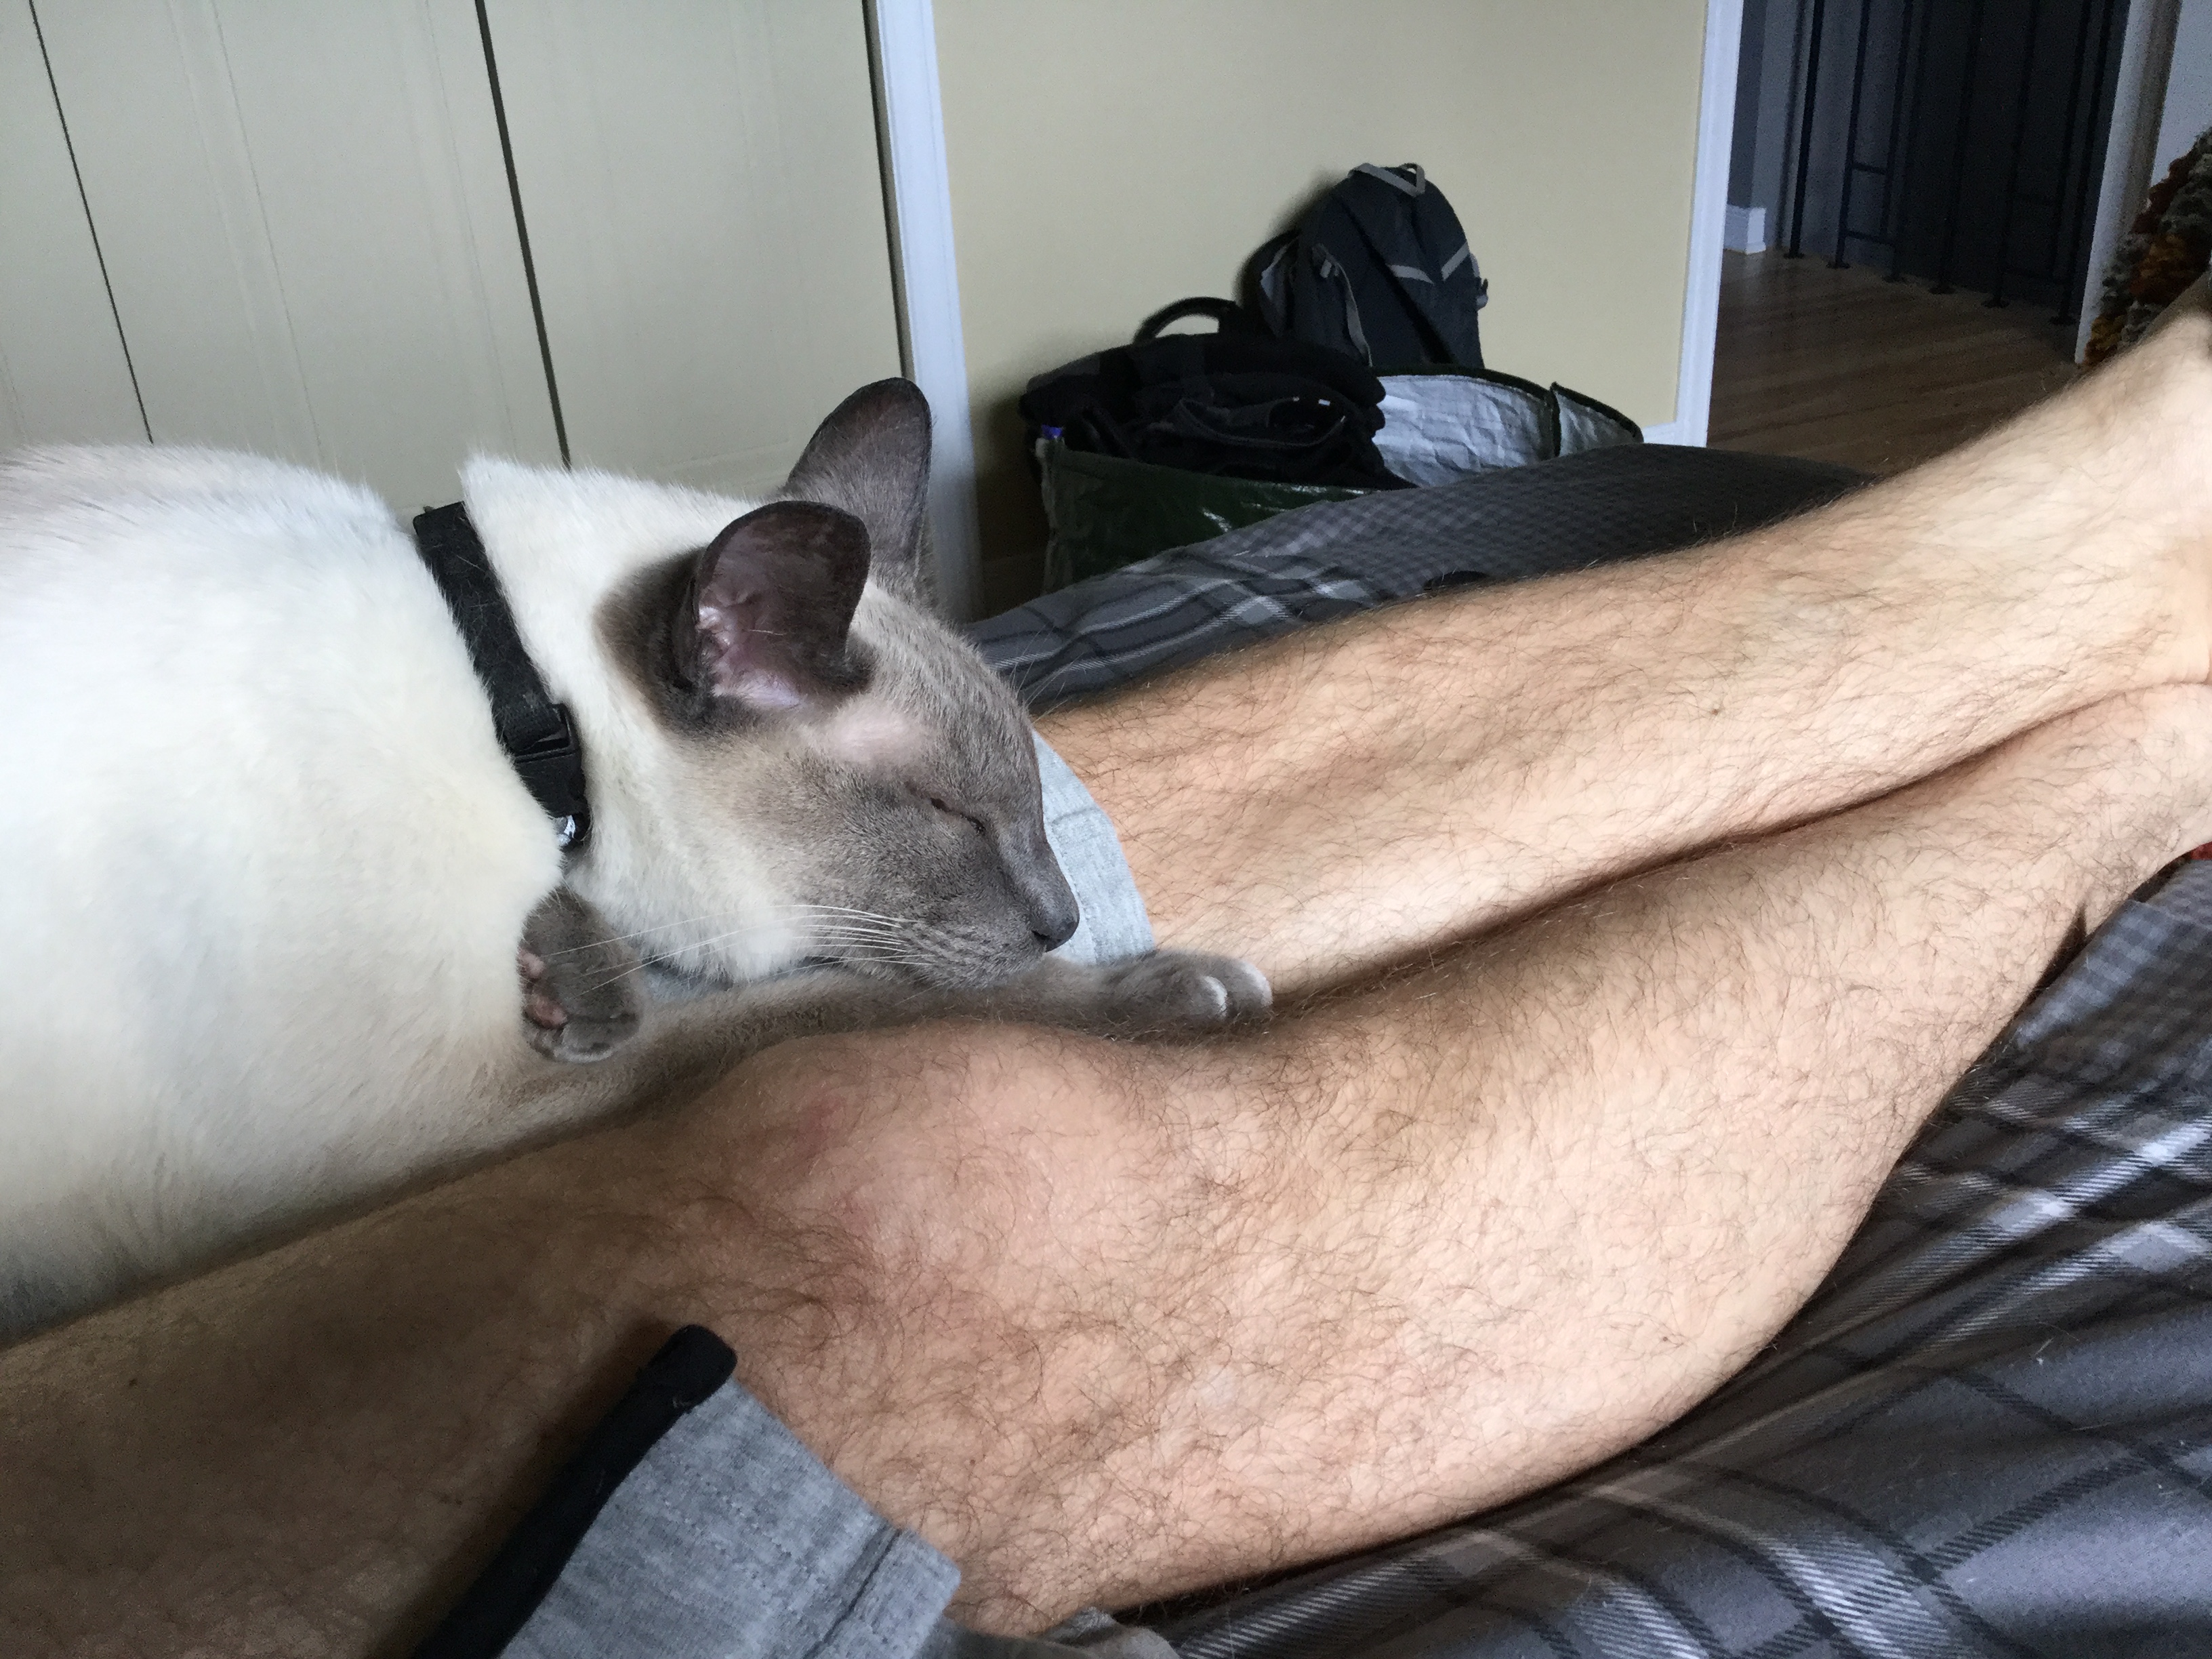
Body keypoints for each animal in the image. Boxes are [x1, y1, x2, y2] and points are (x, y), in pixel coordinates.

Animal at [0, 380, 1267, 1340]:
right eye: (950, 813)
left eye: (1033, 805)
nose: (1064, 919)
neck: (517, 711)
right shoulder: (442, 1116)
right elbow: (831, 1009)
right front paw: (1177, 991)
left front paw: (568, 979)